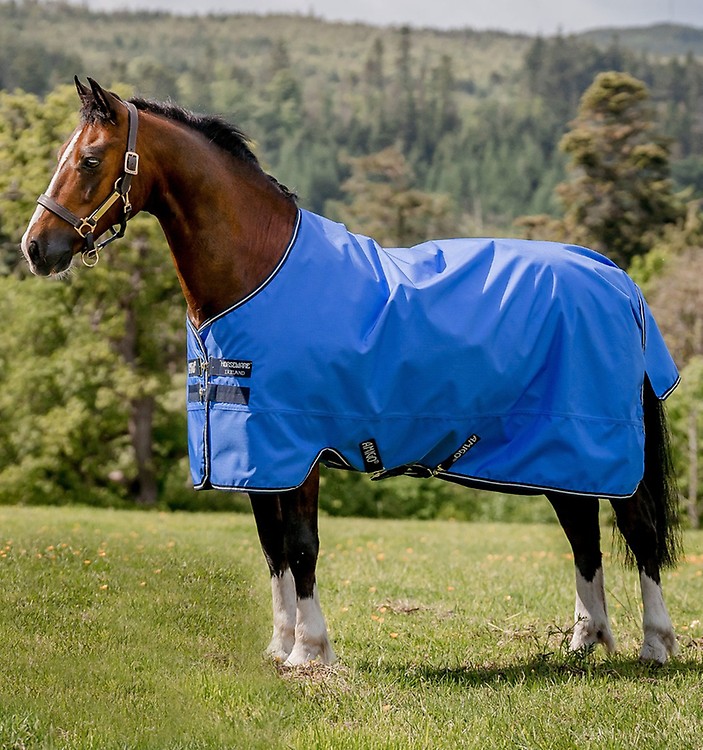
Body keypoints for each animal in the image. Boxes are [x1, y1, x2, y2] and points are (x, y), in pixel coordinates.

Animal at [21, 77, 683, 666]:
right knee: (584, 534)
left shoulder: (297, 448)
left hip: (602, 447)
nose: (34, 248)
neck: (258, 268)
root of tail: (615, 278)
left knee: (640, 530)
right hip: (559, 453)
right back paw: (586, 642)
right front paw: (280, 647)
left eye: (89, 160)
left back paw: (655, 645)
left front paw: (310, 651)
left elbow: (301, 547)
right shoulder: (255, 452)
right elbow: (273, 550)